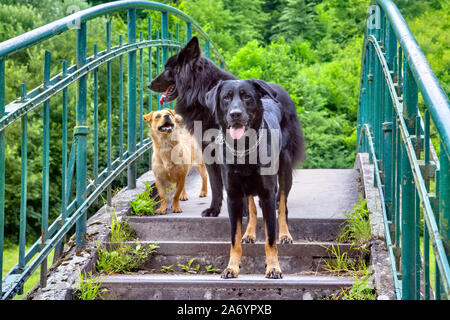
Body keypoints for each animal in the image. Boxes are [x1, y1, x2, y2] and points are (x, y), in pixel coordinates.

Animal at [149, 37, 237, 218]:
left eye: (167, 69)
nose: (149, 84)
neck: (202, 90)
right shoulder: (209, 149)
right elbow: (216, 184)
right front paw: (214, 209)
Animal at [205, 79, 304, 278]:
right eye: (226, 97)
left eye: (247, 97)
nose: (235, 114)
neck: (244, 148)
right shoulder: (233, 196)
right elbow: (234, 238)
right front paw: (232, 267)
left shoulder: (267, 195)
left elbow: (270, 238)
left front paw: (273, 267)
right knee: (251, 206)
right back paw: (249, 233)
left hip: (285, 169)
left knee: (282, 205)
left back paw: (285, 234)